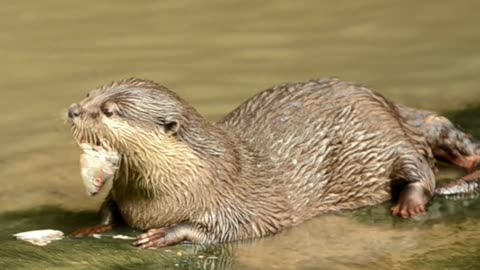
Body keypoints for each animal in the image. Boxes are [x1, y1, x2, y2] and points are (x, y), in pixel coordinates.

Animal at [66, 78, 480, 249]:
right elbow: (110, 208)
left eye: (108, 110)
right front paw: (92, 227)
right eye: (88, 94)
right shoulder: (124, 194)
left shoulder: (239, 200)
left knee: (421, 170)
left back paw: (408, 204)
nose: (73, 109)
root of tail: (389, 102)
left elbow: (234, 227)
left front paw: (166, 234)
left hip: (385, 139)